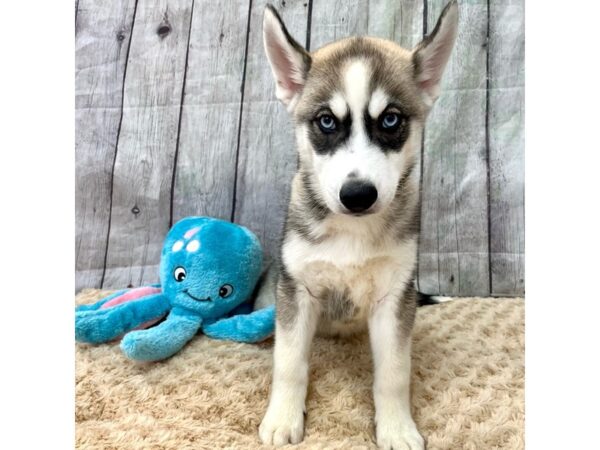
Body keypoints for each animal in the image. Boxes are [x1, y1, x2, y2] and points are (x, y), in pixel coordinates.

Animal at [258, 2, 460, 446]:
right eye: (326, 122)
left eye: (390, 120)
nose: (357, 195)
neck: (351, 233)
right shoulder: (297, 289)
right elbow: (289, 362)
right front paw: (283, 418)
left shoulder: (394, 296)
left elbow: (393, 373)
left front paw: (397, 428)